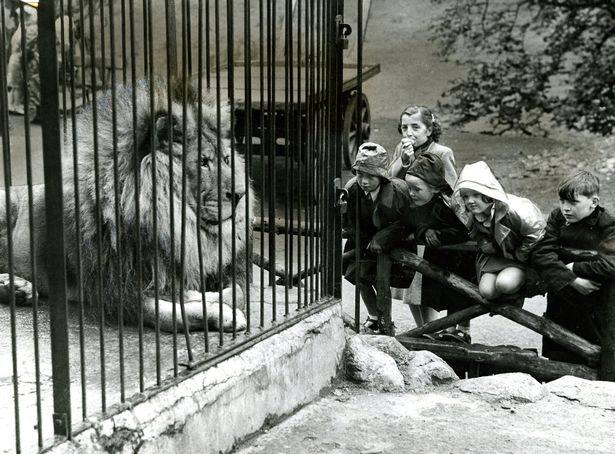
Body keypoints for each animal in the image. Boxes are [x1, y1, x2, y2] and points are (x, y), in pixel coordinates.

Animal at [0, 80, 253, 332]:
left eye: (227, 160)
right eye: (202, 162)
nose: (240, 194)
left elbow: (237, 291)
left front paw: (211, 298)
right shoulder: (118, 294)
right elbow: (174, 313)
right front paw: (222, 313)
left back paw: (18, 287)